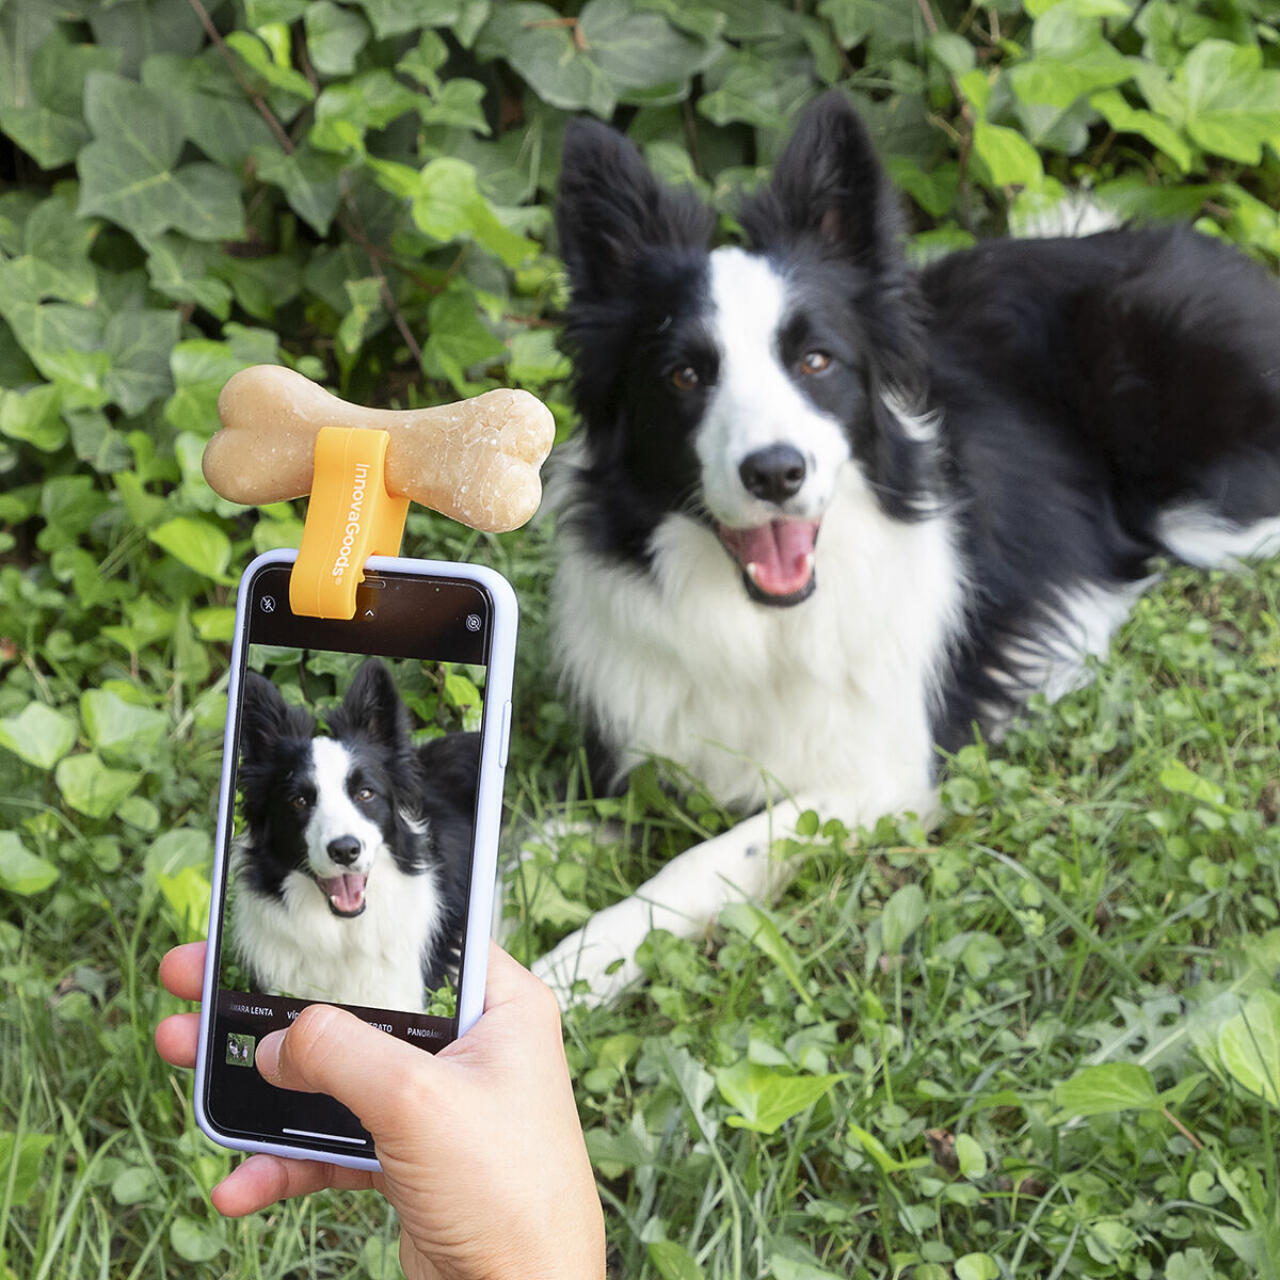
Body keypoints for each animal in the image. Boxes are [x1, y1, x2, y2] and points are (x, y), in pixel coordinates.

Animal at [535, 94, 1280, 1003]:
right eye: (684, 375)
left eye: (816, 360)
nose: (775, 472)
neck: (767, 628)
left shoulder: (884, 776)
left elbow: (710, 857)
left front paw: (578, 965)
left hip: (1204, 503)